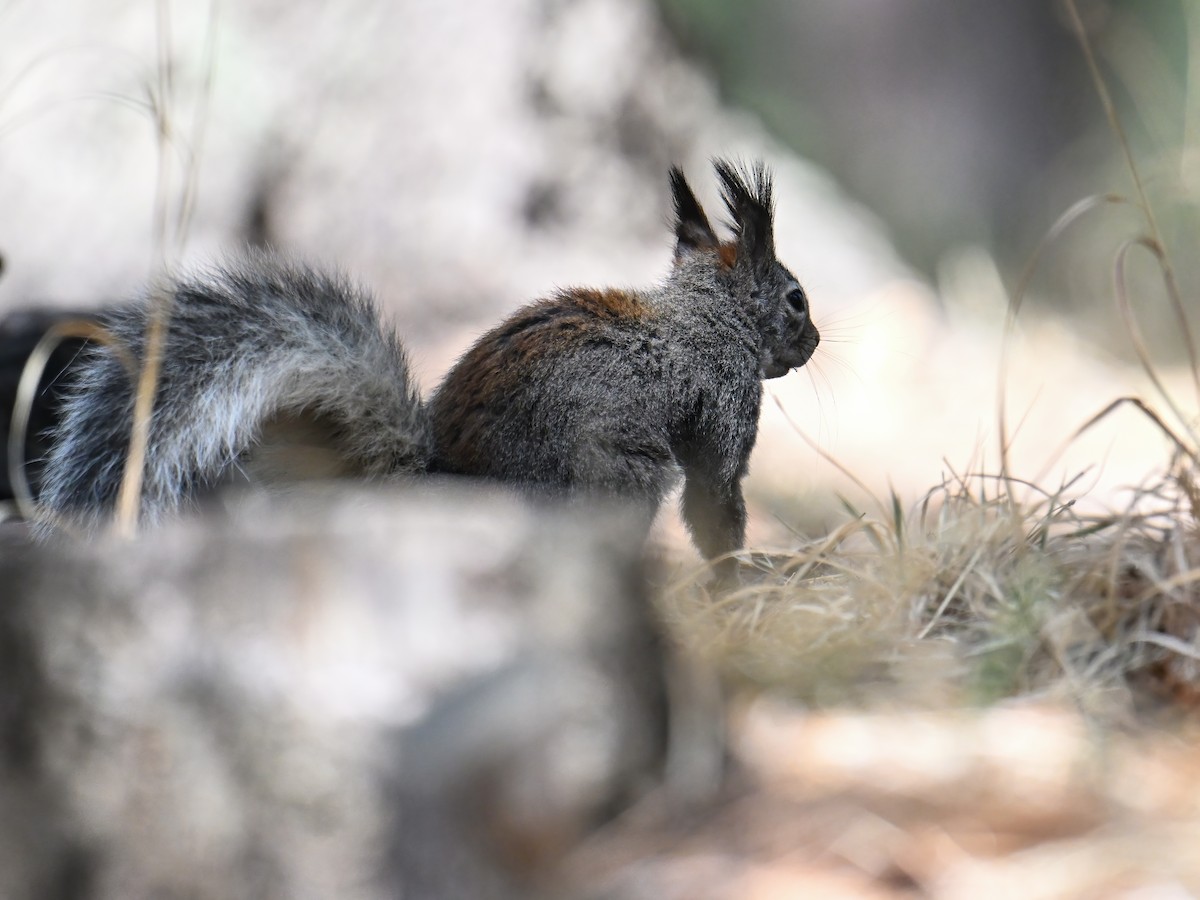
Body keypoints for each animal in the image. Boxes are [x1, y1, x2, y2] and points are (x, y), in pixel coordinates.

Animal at [20, 159, 819, 569]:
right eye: (796, 298)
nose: (814, 343)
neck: (703, 312)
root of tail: (436, 482)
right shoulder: (727, 401)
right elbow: (716, 497)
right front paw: (736, 579)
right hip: (618, 477)